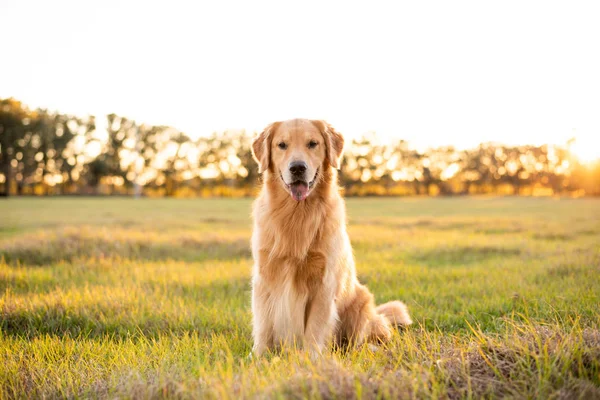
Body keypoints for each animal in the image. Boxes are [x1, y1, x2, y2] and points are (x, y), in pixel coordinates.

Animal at [250, 119, 412, 356]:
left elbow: (315, 327)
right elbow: (263, 325)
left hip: (362, 301)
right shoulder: (265, 278)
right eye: (281, 145)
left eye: (312, 143)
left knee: (365, 337)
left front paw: (311, 359)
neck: (297, 214)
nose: (297, 167)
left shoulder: (323, 283)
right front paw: (258, 356)